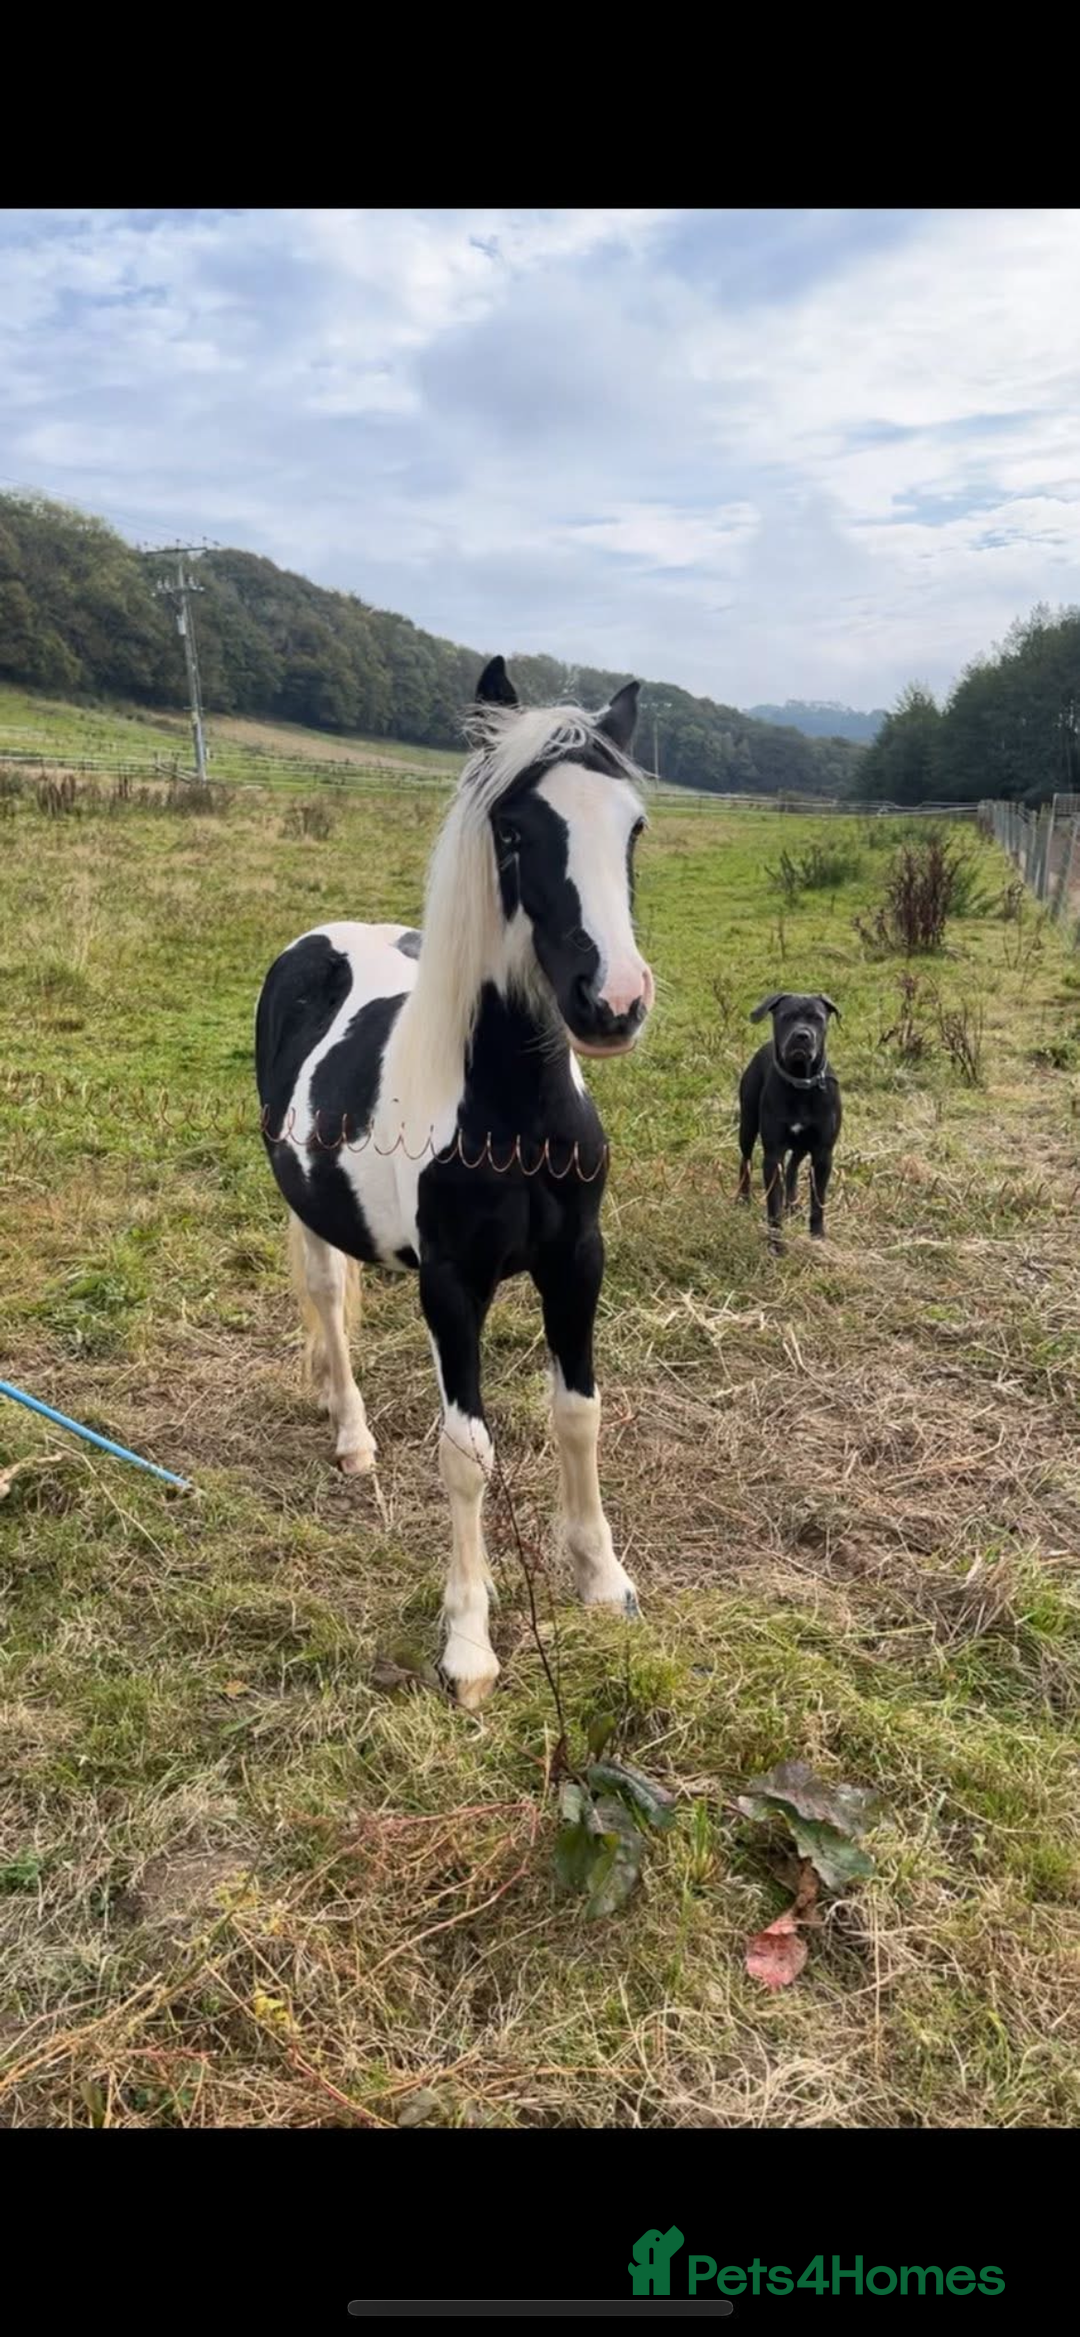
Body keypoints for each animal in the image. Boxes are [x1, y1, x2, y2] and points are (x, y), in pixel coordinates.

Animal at [255, 657, 654, 1707]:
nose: (614, 1003)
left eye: (633, 827)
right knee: (327, 1301)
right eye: (513, 831)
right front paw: (470, 1642)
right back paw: (351, 1436)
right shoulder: (452, 1286)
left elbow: (578, 1413)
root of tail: (320, 938)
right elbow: (467, 1452)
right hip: (307, 1214)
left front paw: (602, 1576)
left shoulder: (576, 1262)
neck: (511, 1115)